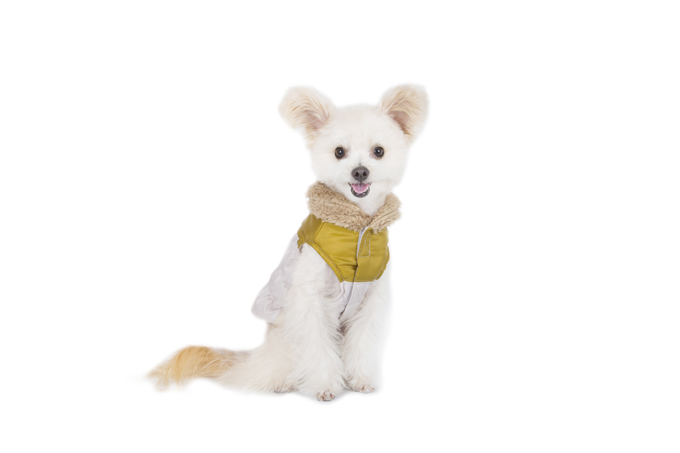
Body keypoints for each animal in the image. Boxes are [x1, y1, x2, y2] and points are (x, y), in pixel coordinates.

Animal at [151, 85, 428, 401]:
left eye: (378, 151)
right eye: (339, 152)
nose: (360, 171)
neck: (357, 229)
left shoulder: (371, 301)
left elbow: (361, 343)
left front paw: (360, 380)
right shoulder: (310, 301)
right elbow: (318, 346)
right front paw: (324, 386)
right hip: (284, 339)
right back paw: (281, 382)